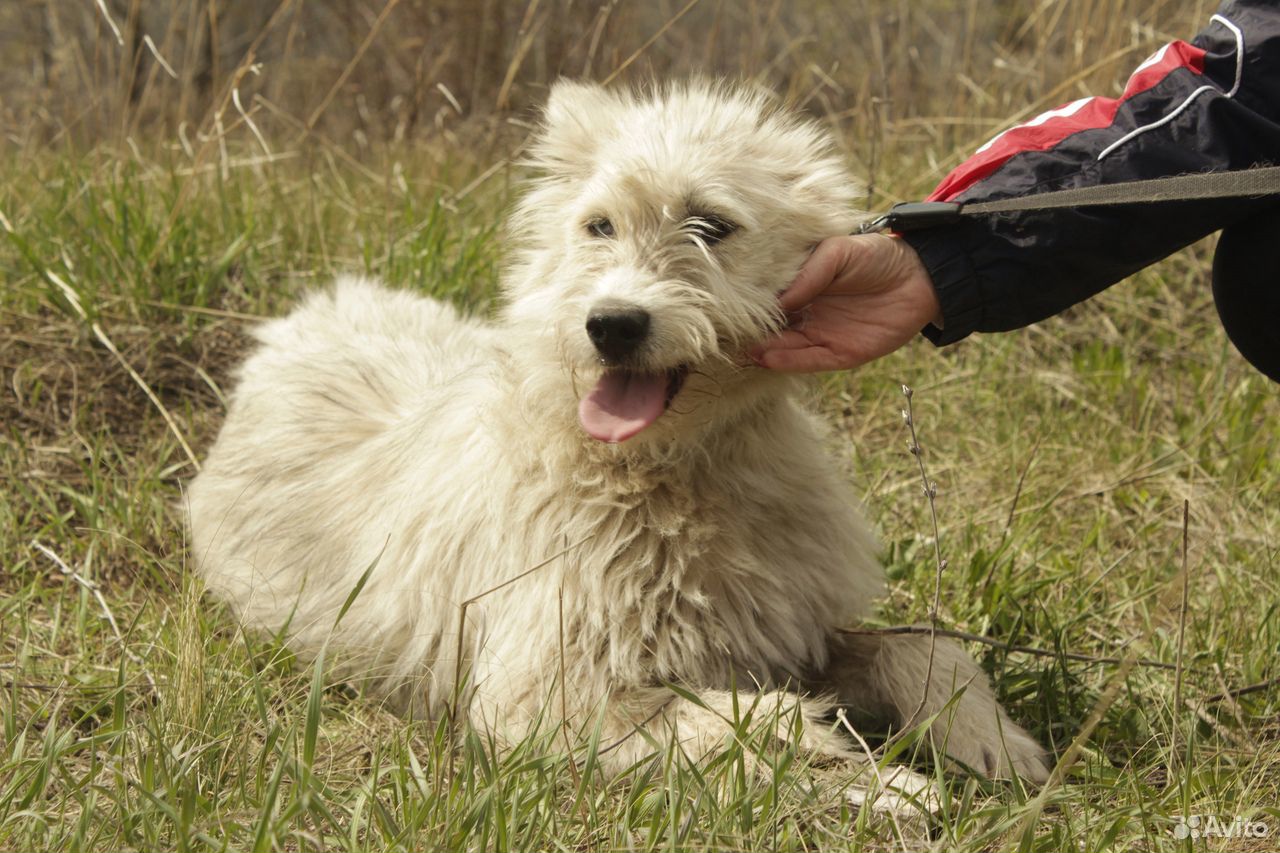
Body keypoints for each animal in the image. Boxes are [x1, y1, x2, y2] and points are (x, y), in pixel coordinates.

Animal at [186, 83, 1049, 778]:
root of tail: (305, 317)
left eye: (712, 225)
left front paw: (991, 739)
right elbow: (723, 719)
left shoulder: (790, 630)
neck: (664, 475)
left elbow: (923, 643)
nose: (612, 324)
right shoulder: (533, 697)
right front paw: (864, 774)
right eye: (598, 226)